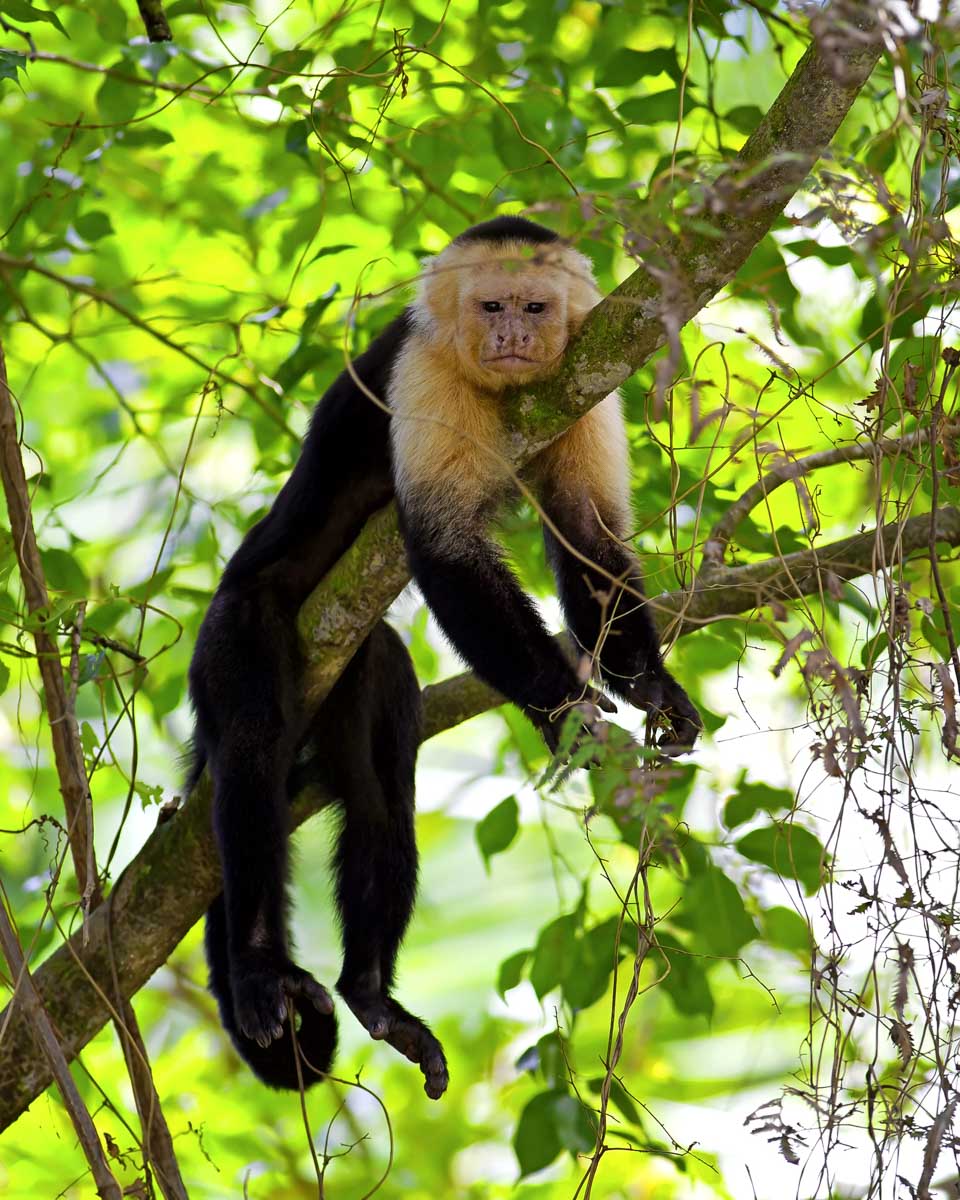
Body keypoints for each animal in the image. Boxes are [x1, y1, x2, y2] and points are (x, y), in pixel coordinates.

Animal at [187, 215, 700, 1102]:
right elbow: (444, 545)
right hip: (231, 633)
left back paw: (369, 994)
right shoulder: (420, 368)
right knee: (250, 747)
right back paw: (257, 969)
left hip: (361, 665)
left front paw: (651, 683)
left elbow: (588, 535)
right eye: (491, 304)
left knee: (381, 787)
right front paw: (562, 707)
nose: (511, 336)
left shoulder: (585, 379)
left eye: (535, 306)